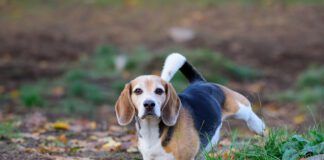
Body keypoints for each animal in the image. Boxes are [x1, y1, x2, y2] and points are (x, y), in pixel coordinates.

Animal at [115, 53, 264, 159]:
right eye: (138, 91)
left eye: (159, 91)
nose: (149, 104)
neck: (152, 129)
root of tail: (199, 82)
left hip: (238, 106)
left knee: (248, 110)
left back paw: (258, 126)